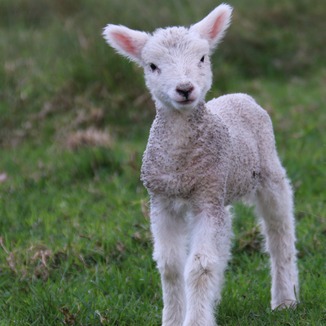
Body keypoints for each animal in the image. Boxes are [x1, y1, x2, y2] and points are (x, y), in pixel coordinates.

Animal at [103, 3, 300, 324]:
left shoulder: (206, 201)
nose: (185, 89)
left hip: (268, 172)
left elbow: (199, 266)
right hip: (221, 188)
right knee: (227, 235)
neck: (181, 164)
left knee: (279, 232)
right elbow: (170, 267)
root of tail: (239, 95)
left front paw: (195, 320)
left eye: (203, 58)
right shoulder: (163, 201)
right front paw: (173, 319)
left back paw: (285, 299)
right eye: (152, 66)